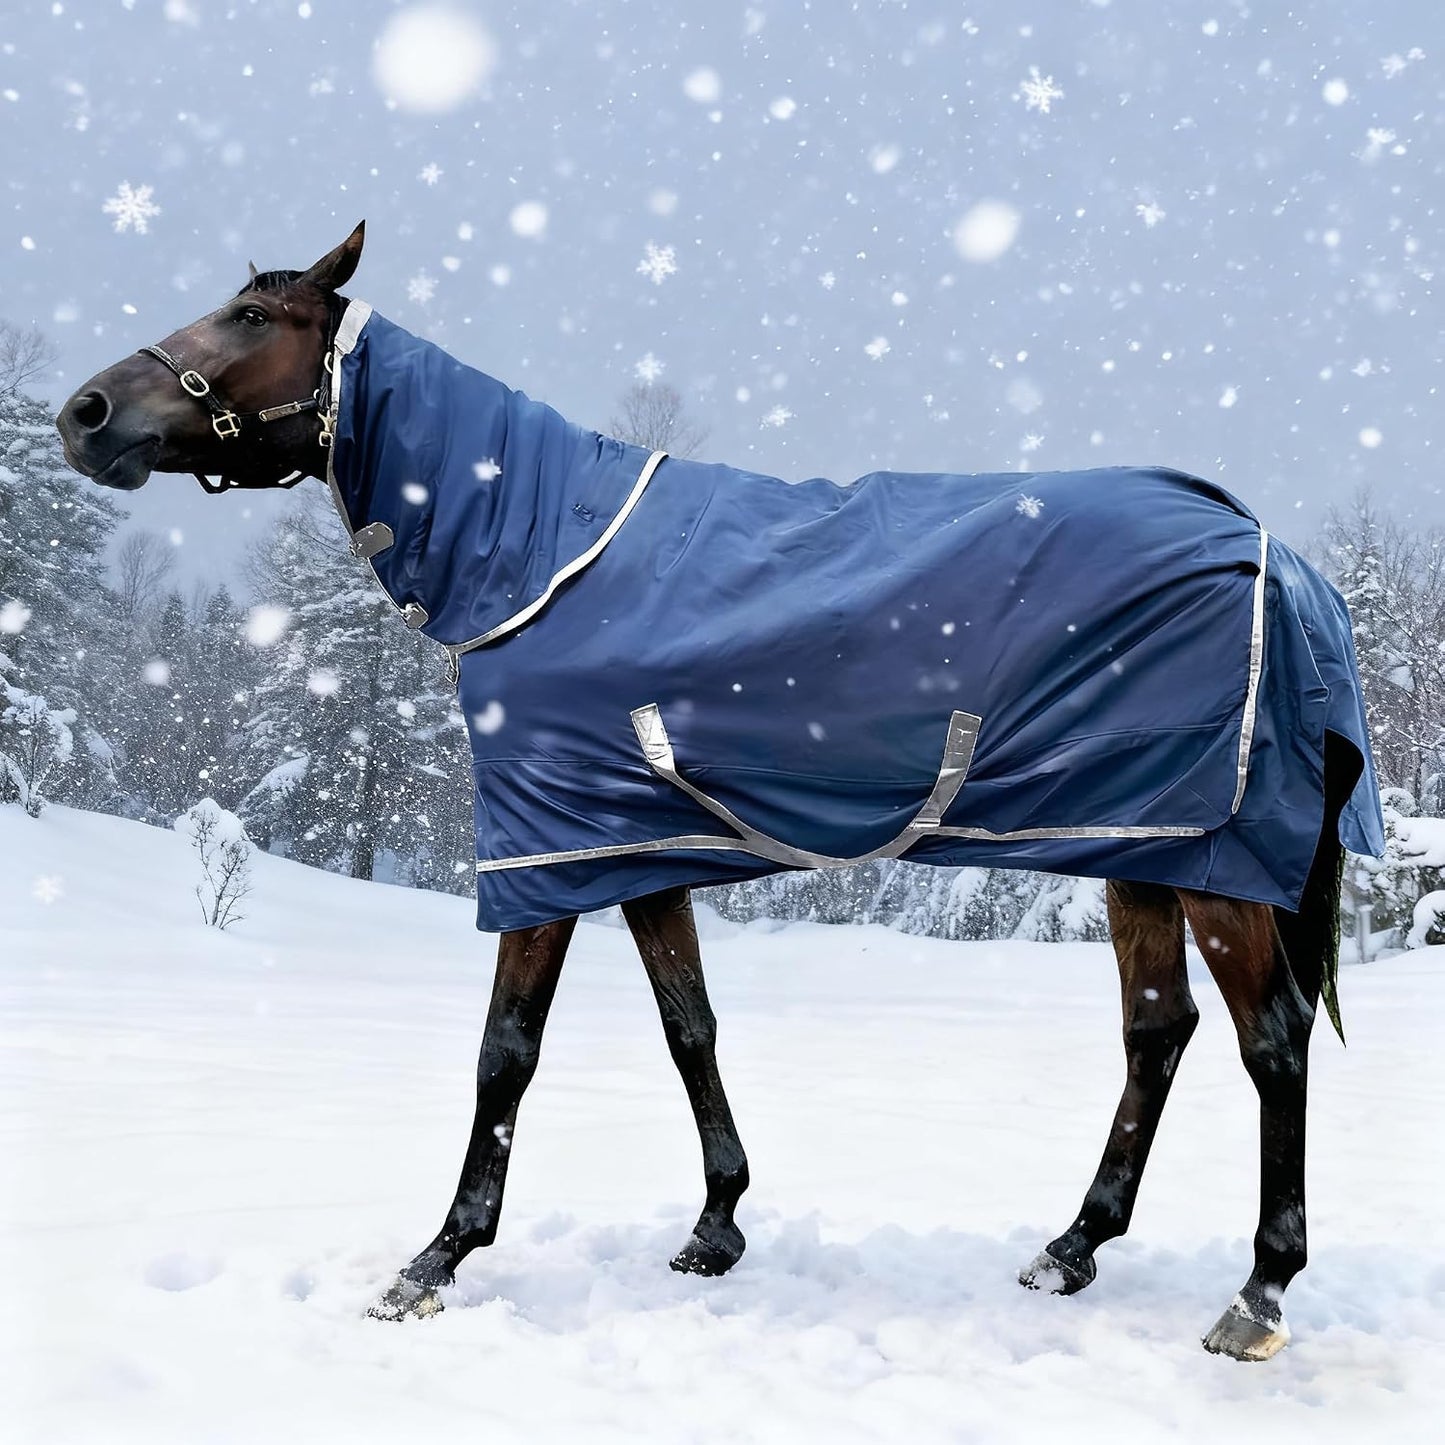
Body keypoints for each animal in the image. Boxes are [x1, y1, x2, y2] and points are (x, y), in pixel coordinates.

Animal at [57, 222, 1384, 1361]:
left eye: (249, 314)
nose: (84, 413)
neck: (538, 550)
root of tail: (1275, 554)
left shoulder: (544, 854)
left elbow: (504, 1053)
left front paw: (435, 1258)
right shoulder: (636, 848)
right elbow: (685, 1023)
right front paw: (714, 1223)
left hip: (1212, 862)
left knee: (1269, 1042)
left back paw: (1257, 1291)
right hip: (1138, 845)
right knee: (1156, 1029)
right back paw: (1069, 1246)